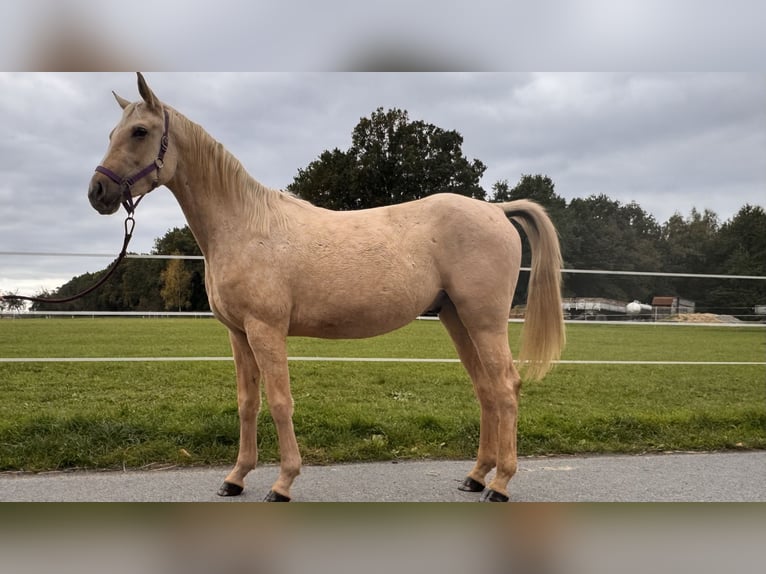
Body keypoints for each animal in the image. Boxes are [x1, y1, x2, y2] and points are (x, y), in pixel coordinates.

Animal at [88, 73, 565, 502]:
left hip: (484, 320)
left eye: (140, 131)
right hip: (456, 318)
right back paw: (476, 476)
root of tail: (496, 210)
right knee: (486, 390)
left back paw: (500, 485)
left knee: (506, 387)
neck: (245, 225)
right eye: (111, 132)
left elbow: (280, 401)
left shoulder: (266, 330)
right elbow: (247, 403)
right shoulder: (238, 334)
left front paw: (283, 483)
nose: (97, 191)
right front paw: (236, 478)